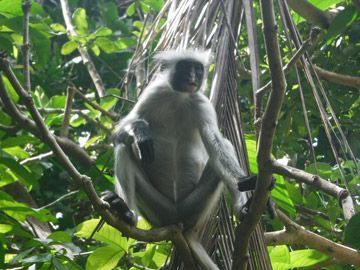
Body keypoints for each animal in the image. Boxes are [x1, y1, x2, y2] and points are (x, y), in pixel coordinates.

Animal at [100, 49, 258, 268]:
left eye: (197, 69)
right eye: (185, 67)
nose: (193, 78)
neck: (179, 97)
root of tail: (178, 221)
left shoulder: (201, 104)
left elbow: (217, 142)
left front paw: (249, 183)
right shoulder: (154, 93)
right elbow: (118, 134)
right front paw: (139, 130)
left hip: (195, 208)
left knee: (224, 147)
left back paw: (242, 209)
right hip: (158, 211)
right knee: (124, 148)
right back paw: (127, 213)